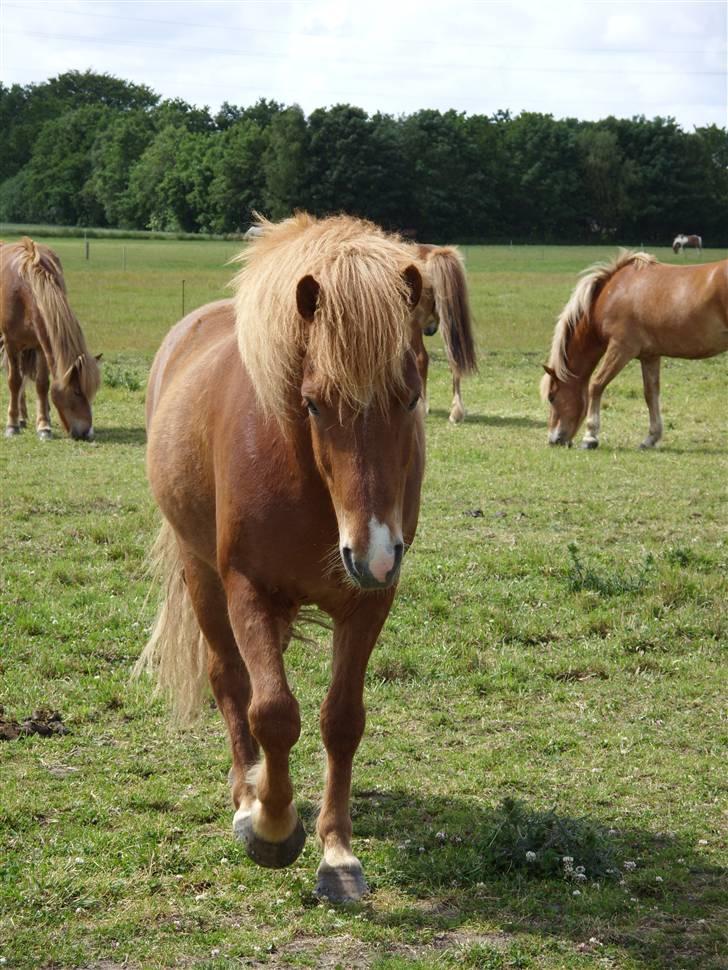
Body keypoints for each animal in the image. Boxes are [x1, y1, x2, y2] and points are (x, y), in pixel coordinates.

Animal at [0, 238, 101, 438]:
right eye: (77, 392)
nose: (87, 432)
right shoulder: (11, 344)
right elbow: (14, 381)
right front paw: (11, 425)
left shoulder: (42, 345)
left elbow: (42, 384)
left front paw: (44, 426)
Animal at [136, 212, 426, 900]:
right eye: (313, 401)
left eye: (410, 397)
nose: (373, 552)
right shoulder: (248, 588)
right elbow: (271, 711)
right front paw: (270, 826)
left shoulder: (369, 601)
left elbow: (340, 720)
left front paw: (337, 853)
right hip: (201, 575)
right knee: (230, 680)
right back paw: (248, 794)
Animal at [540, 248, 728, 448]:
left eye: (552, 397)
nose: (553, 440)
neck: (610, 295)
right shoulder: (650, 356)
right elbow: (651, 394)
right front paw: (651, 437)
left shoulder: (620, 349)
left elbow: (596, 384)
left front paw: (590, 436)